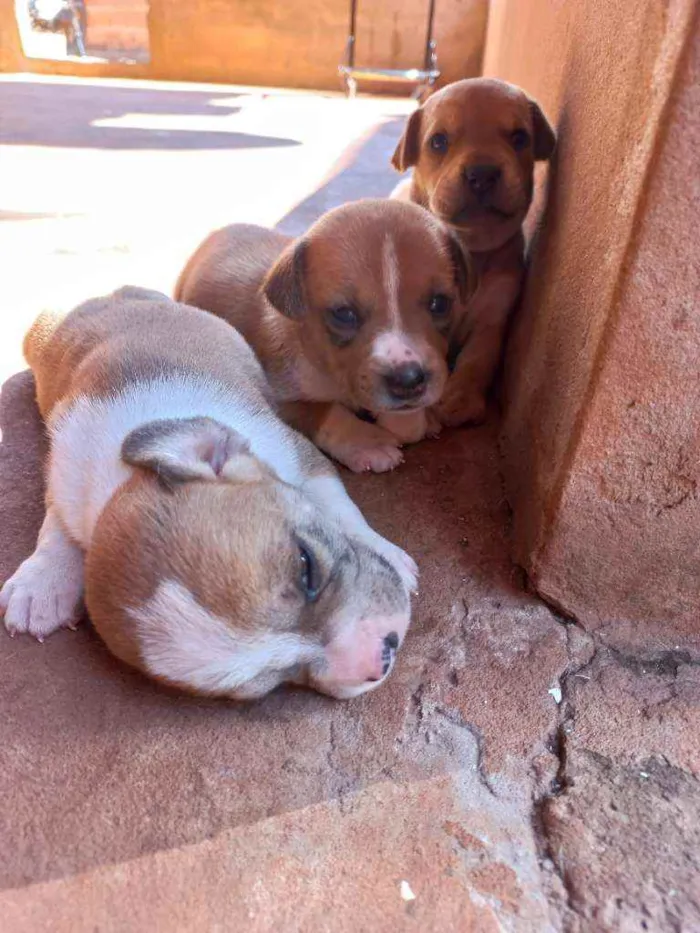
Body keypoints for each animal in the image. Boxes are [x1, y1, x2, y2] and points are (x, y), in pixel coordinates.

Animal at [0, 284, 416, 700]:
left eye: (306, 565)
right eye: (271, 683)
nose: (383, 656)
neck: (124, 477)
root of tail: (113, 294)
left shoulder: (299, 455)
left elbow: (339, 507)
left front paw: (385, 551)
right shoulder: (63, 476)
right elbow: (56, 525)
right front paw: (44, 579)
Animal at [392, 77, 556, 426]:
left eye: (519, 138)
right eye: (438, 142)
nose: (482, 173)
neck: (471, 249)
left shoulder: (492, 320)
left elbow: (478, 359)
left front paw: (460, 398)